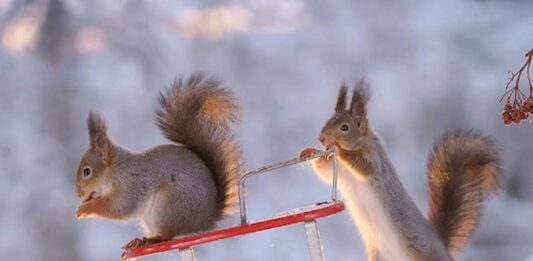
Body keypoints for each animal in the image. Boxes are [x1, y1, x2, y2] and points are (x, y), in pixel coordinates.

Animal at [74, 73, 243, 250]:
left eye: (87, 171)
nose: (79, 193)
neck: (115, 170)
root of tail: (205, 221)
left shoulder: (133, 183)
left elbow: (120, 207)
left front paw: (84, 209)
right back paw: (139, 241)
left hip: (168, 206)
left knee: (167, 236)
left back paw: (149, 240)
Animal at [302, 79, 500, 260]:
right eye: (327, 121)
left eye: (345, 127)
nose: (321, 138)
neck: (360, 142)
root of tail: (441, 245)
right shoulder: (341, 173)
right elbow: (326, 172)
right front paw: (309, 152)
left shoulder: (376, 158)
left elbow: (365, 167)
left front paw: (340, 149)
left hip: (421, 253)